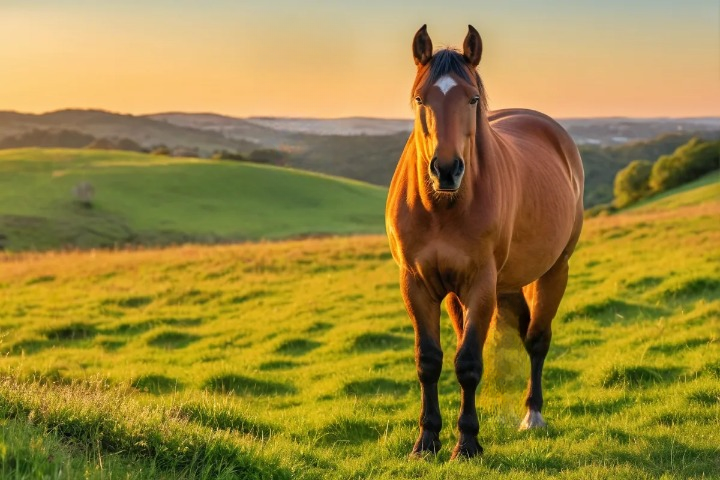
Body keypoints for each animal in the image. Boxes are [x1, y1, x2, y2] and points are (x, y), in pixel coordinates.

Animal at [385, 24, 584, 459]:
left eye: (472, 98)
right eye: (420, 98)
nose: (445, 170)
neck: (442, 207)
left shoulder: (480, 284)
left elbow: (469, 363)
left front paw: (467, 444)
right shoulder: (417, 283)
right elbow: (429, 361)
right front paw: (427, 441)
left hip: (553, 270)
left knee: (537, 339)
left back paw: (533, 415)